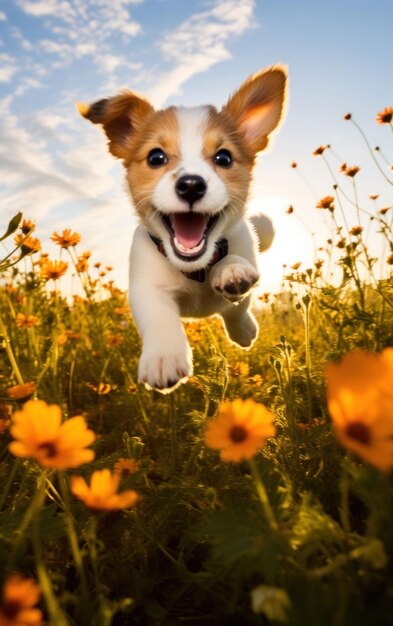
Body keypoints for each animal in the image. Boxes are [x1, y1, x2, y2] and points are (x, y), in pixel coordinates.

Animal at [78, 67, 286, 390]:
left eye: (224, 157)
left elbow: (236, 289)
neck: (195, 270)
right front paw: (164, 356)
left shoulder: (243, 253)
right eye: (156, 157)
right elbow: (158, 315)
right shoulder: (146, 285)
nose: (190, 185)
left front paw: (231, 273)